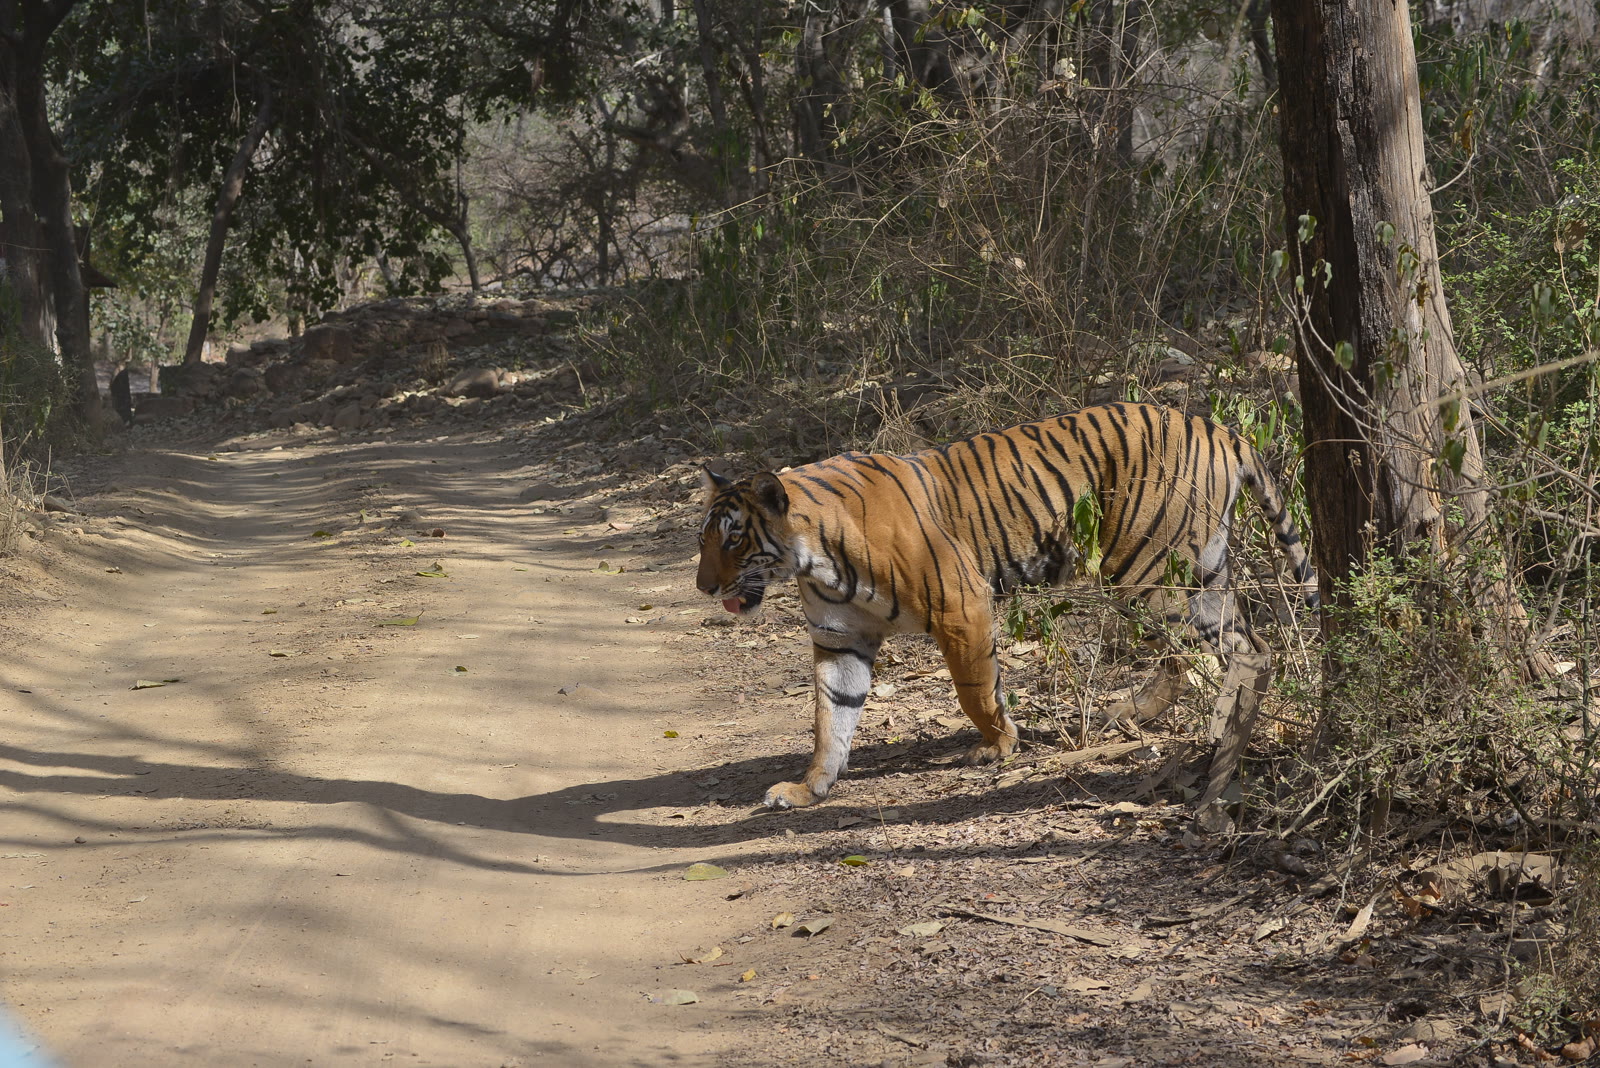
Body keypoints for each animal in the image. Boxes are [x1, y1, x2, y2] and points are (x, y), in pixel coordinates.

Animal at [696, 401, 1319, 809]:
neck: (811, 556)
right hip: (1204, 572)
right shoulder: (839, 638)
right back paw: (1195, 719)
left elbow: (975, 690)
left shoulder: (961, 604)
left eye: (734, 539)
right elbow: (831, 718)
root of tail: (1217, 426)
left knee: (1194, 657)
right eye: (704, 539)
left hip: (1146, 570)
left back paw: (1198, 726)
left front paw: (998, 746)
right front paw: (809, 787)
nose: (703, 587)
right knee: (1245, 646)